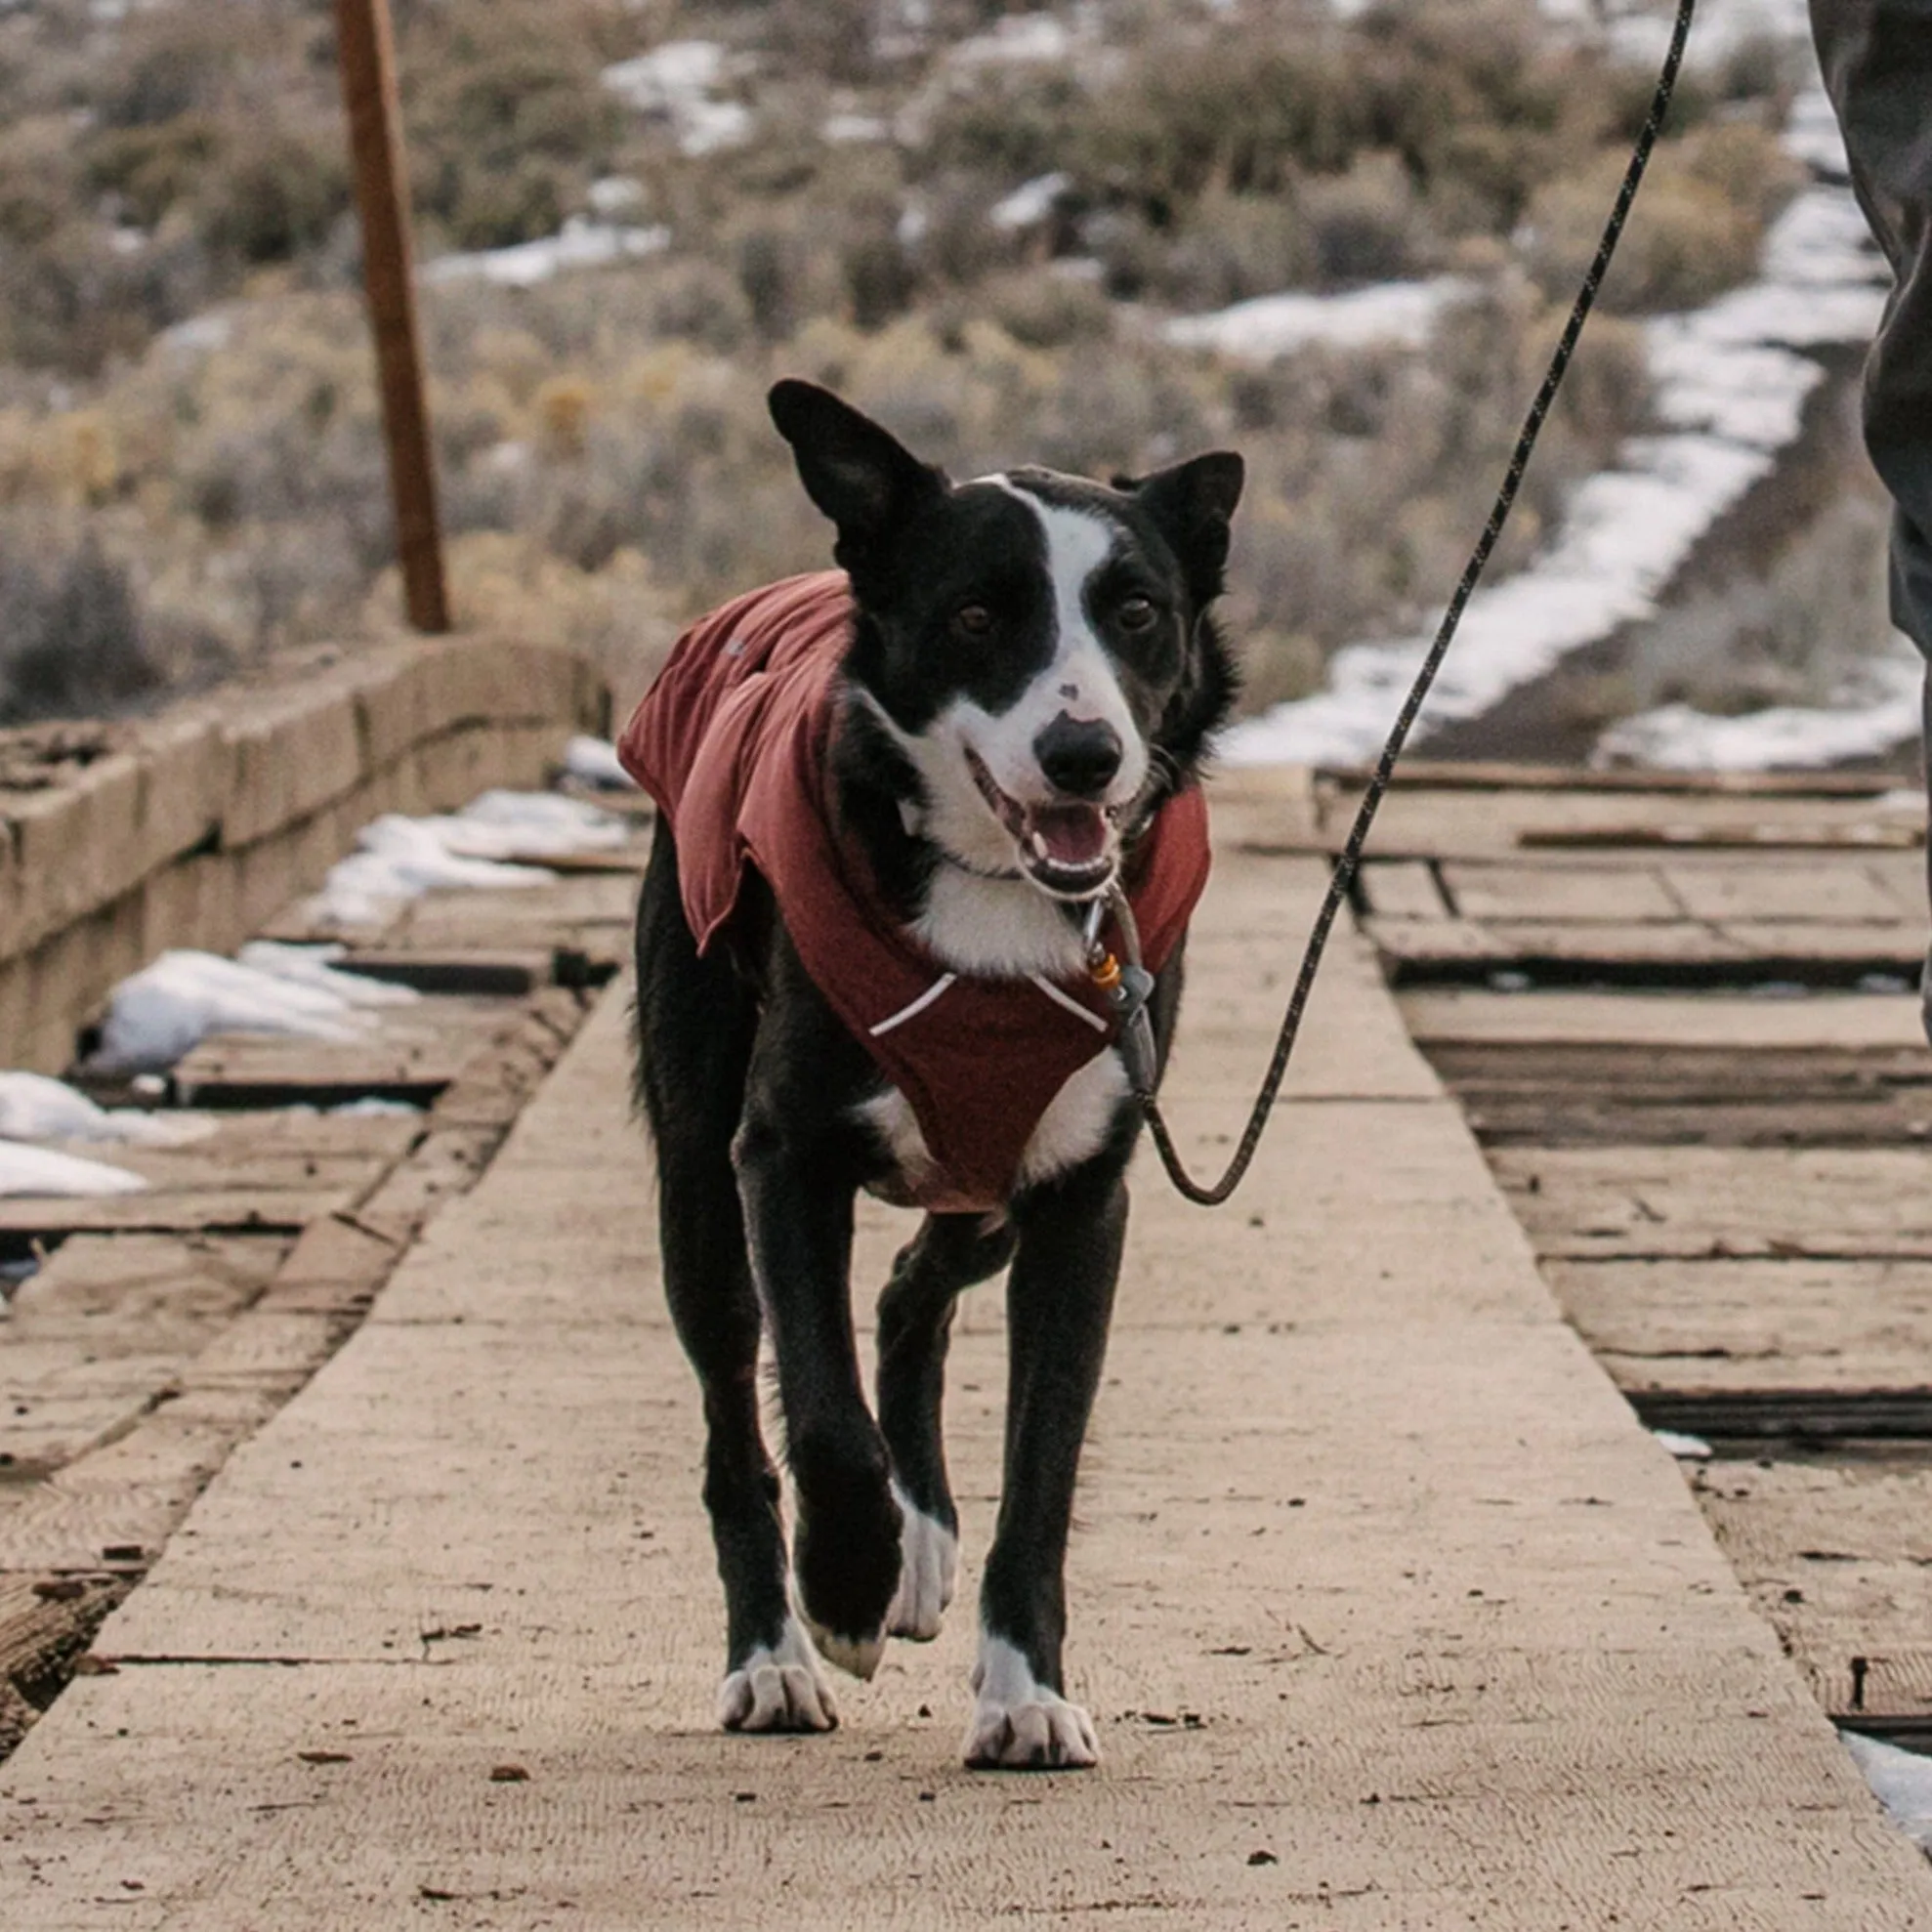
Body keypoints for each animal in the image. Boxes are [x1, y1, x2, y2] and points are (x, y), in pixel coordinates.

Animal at [625, 376, 1243, 1769]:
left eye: (1137, 611)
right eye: (974, 615)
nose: (1083, 756)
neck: (996, 895)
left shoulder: (1081, 1192)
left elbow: (1044, 1467)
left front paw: (1024, 1691)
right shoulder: (781, 1154)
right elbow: (820, 1413)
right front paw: (845, 1584)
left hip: (984, 1174)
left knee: (914, 1290)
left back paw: (923, 1543)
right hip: (697, 1172)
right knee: (734, 1418)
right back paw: (774, 1654)